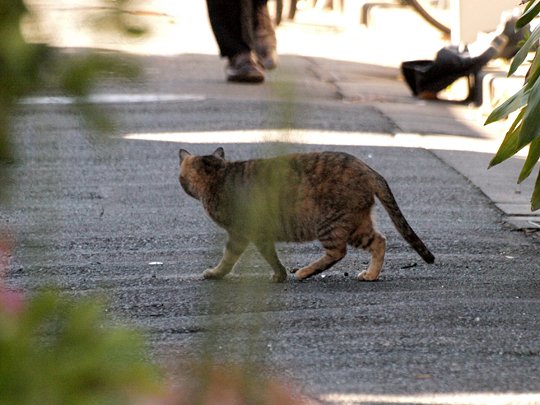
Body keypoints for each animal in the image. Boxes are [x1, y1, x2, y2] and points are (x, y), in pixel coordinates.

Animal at [177, 147, 434, 282]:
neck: (220, 176)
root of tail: (368, 169)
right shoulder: (258, 234)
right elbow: (271, 256)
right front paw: (280, 274)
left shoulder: (244, 233)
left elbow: (232, 258)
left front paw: (215, 273)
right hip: (357, 223)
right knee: (379, 240)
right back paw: (371, 274)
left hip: (332, 223)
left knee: (340, 251)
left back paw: (306, 271)